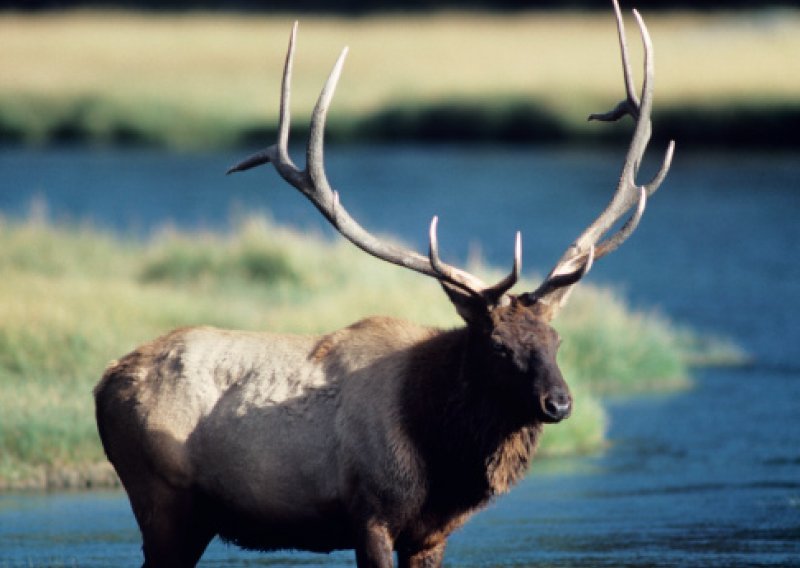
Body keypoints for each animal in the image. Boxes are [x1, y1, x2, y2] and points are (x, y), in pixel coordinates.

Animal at [97, 2, 680, 564]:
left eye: (557, 341)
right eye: (496, 345)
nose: (558, 403)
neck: (441, 461)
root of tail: (103, 383)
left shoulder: (431, 534)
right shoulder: (369, 513)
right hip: (162, 500)